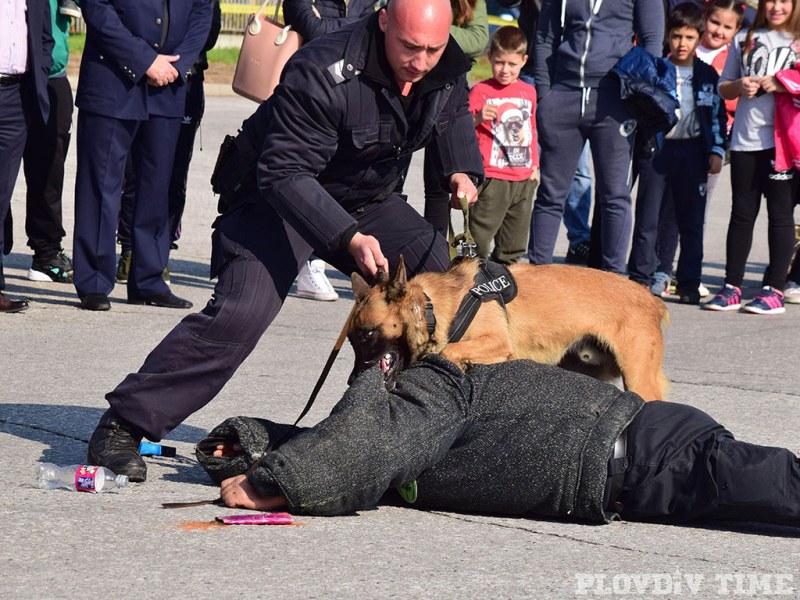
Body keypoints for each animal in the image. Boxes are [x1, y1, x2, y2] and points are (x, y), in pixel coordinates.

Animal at [348, 256, 668, 400]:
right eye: (351, 340)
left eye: (368, 334)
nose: (351, 381)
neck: (431, 309)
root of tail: (651, 299)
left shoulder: (498, 343)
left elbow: (451, 350)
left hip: (638, 379)